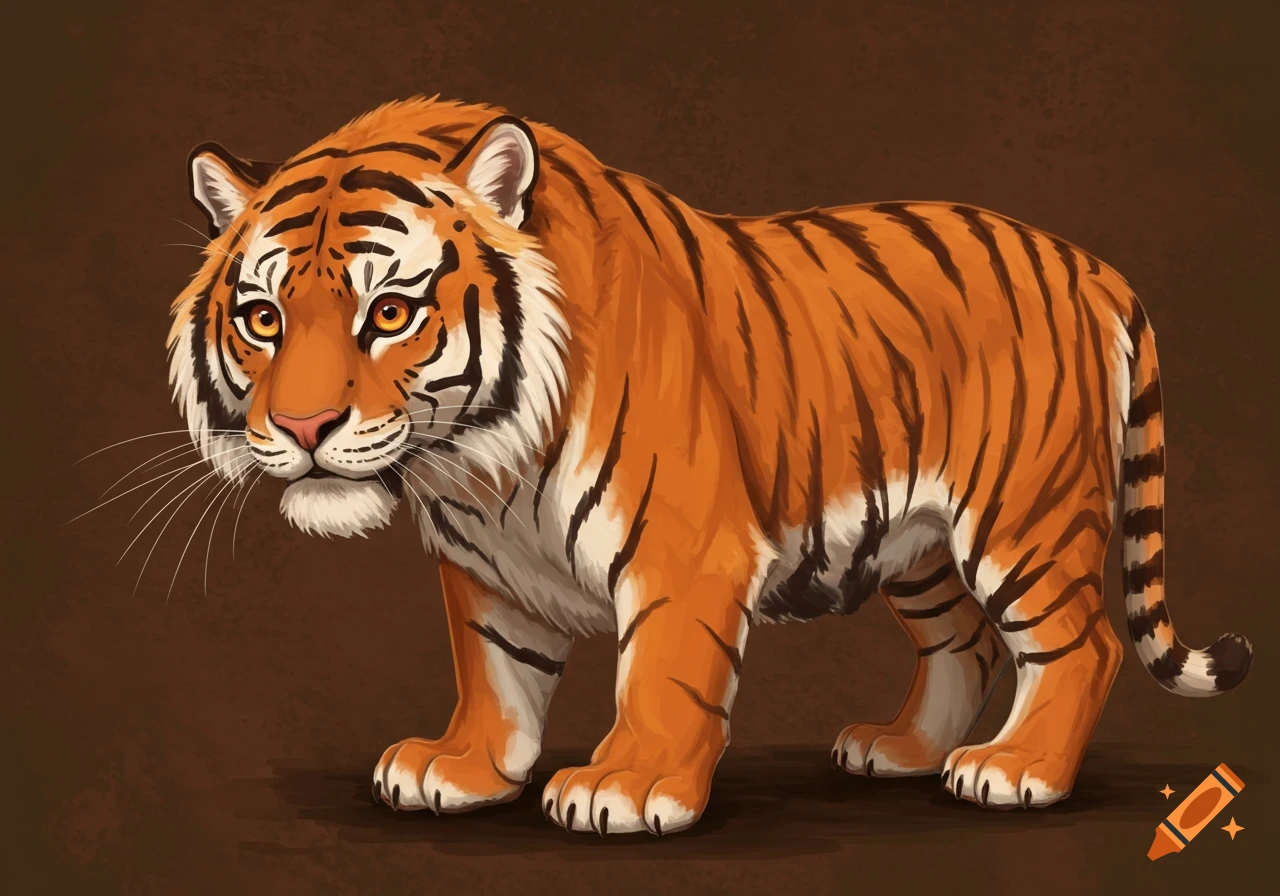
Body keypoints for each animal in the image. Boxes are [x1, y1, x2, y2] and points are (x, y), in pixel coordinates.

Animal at [168, 93, 1252, 836]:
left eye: (389, 312)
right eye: (262, 319)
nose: (303, 424)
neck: (479, 466)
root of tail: (1088, 263)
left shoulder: (683, 548)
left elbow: (662, 673)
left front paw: (626, 784)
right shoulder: (487, 568)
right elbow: (496, 671)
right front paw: (464, 766)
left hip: (1023, 517)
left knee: (1080, 643)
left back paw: (1017, 768)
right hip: (918, 543)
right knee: (968, 644)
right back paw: (900, 749)